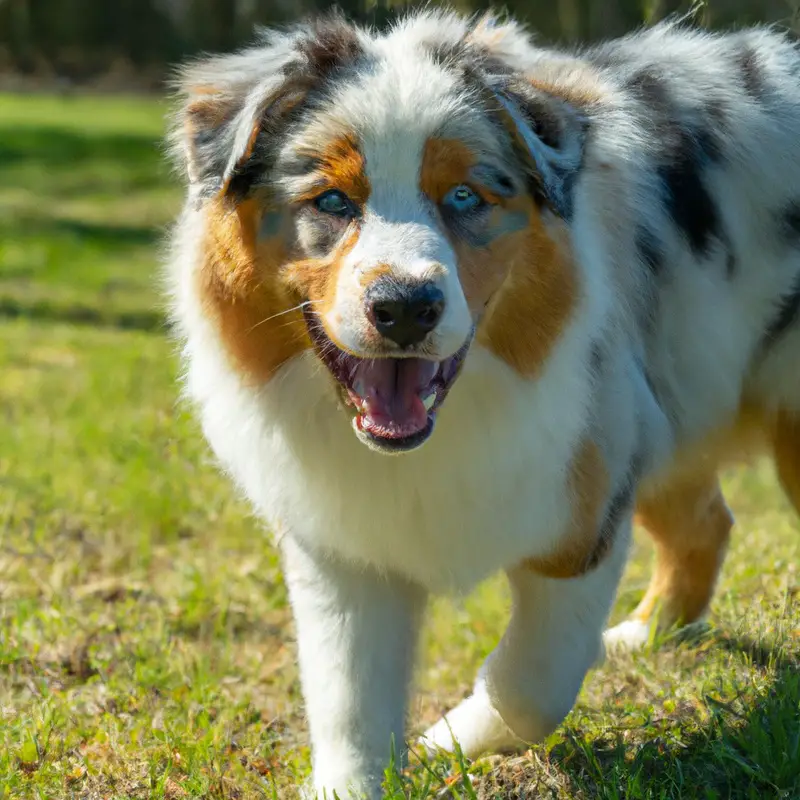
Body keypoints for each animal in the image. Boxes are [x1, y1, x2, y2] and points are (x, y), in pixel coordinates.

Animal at [164, 9, 800, 796]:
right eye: (332, 202)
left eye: (465, 197)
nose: (404, 308)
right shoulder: (343, 545)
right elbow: (349, 701)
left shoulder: (582, 507)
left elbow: (531, 682)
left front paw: (447, 739)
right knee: (706, 524)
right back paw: (642, 638)